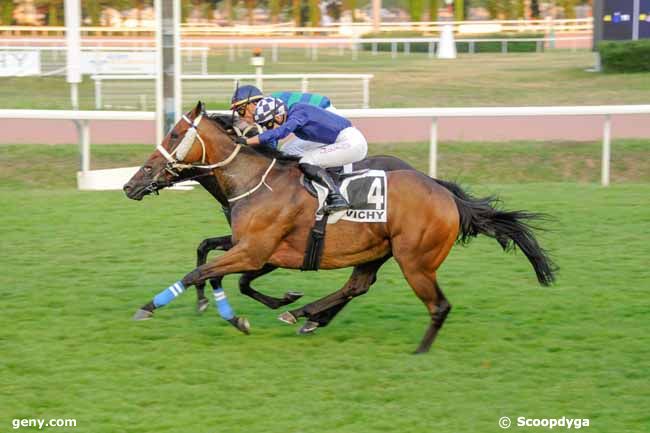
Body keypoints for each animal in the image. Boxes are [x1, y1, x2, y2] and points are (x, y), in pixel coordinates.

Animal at [124, 101, 556, 352]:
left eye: (175, 134)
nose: (131, 184)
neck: (254, 179)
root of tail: (447, 196)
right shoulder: (254, 248)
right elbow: (209, 257)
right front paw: (230, 306)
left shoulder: (256, 250)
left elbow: (201, 271)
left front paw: (151, 307)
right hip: (379, 252)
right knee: (357, 285)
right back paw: (306, 316)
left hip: (415, 261)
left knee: (438, 304)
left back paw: (417, 352)